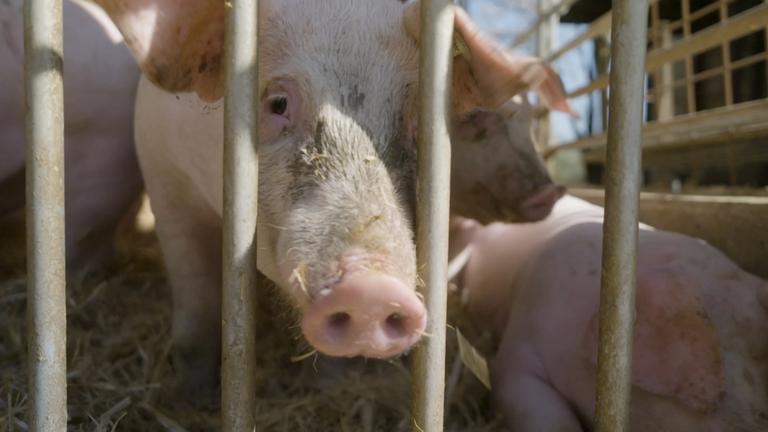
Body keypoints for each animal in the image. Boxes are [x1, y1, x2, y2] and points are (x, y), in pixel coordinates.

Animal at [91, 0, 573, 392]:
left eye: (420, 119)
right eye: (278, 102)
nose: (371, 289)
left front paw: (332, 386)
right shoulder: (165, 179)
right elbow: (198, 306)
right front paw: (194, 397)